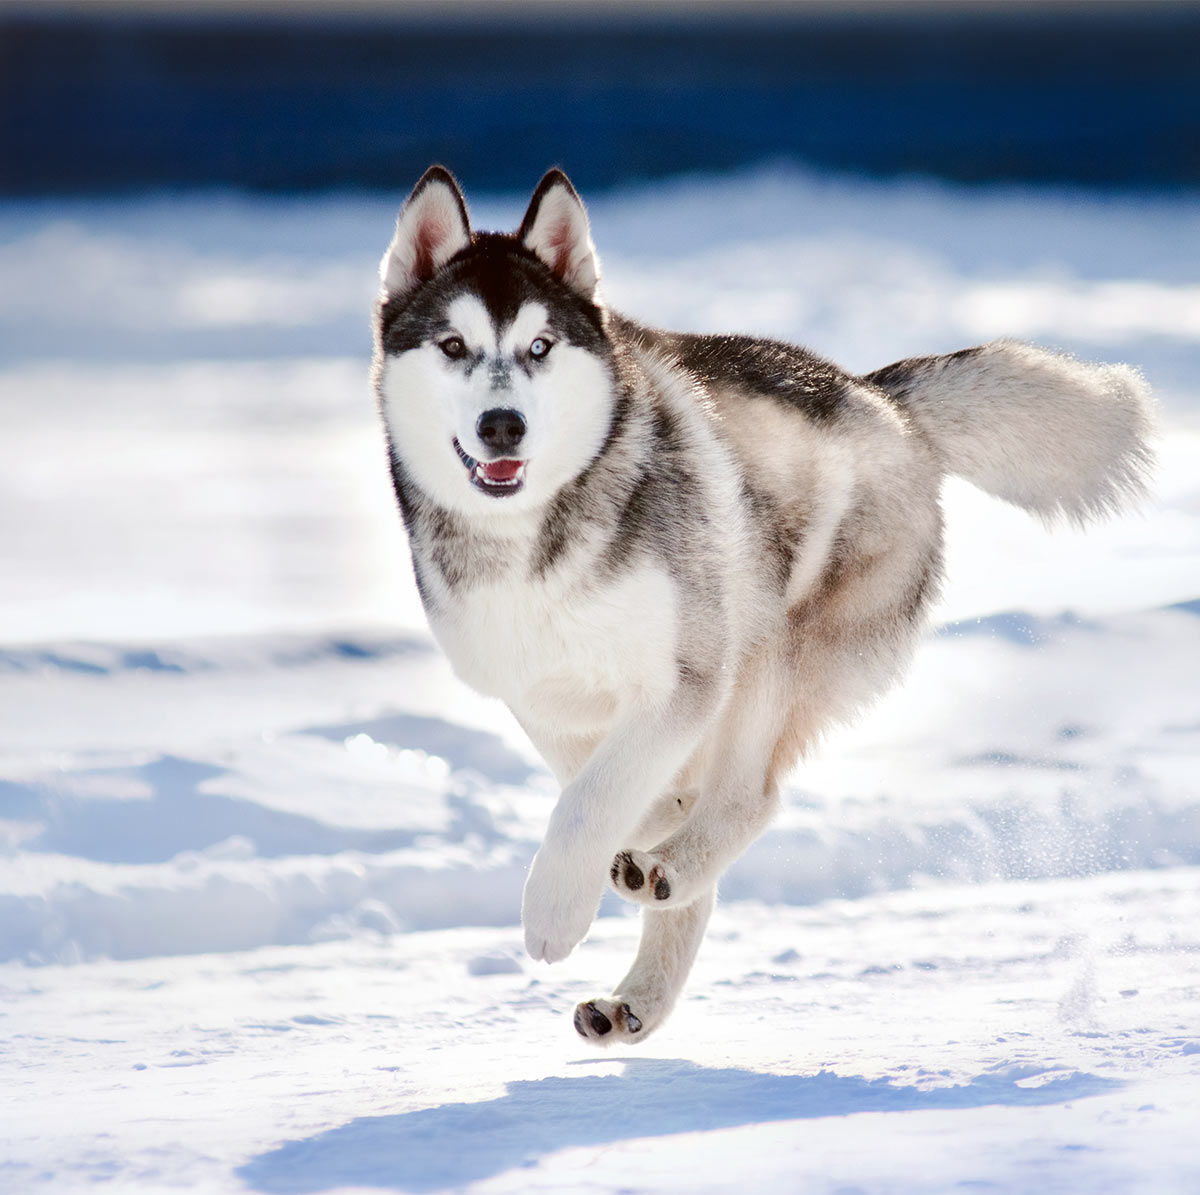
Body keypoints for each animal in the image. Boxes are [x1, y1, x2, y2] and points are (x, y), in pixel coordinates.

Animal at [372, 163, 1152, 1041]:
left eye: (539, 346)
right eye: (453, 346)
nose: (502, 424)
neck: (537, 535)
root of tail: (881, 400)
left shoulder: (686, 680)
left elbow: (587, 804)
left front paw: (553, 911)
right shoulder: (543, 698)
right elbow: (612, 793)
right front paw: (634, 852)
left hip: (772, 649)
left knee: (754, 796)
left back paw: (668, 870)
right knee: (695, 830)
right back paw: (638, 987)